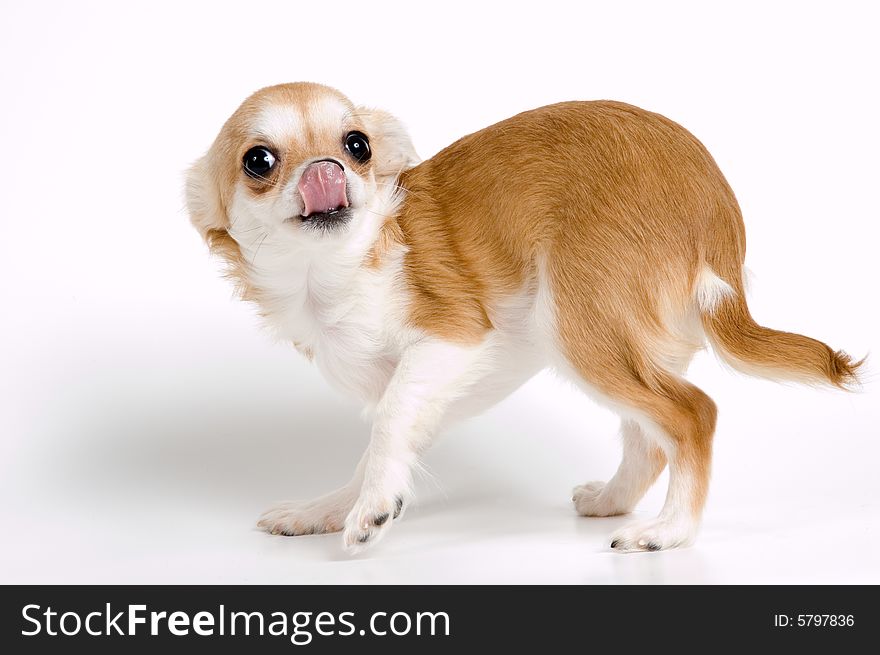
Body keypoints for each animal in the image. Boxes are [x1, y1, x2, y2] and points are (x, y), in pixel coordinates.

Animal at [186, 82, 860, 552]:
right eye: (258, 161)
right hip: (626, 343)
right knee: (651, 437)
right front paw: (327, 509)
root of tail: (717, 213)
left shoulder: (450, 342)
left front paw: (371, 509)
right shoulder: (427, 389)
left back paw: (669, 532)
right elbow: (384, 443)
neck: (330, 274)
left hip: (577, 324)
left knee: (692, 414)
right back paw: (614, 501)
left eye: (357, 146)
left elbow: (389, 426)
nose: (328, 168)